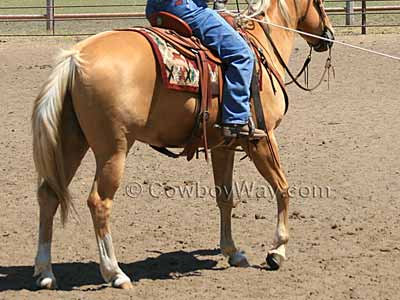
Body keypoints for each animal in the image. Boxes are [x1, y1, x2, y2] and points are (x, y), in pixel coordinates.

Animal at [31, 0, 332, 288]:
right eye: (319, 4)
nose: (328, 36)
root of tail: (76, 57)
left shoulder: (223, 145)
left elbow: (225, 197)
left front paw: (232, 251)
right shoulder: (263, 139)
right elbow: (283, 188)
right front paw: (277, 251)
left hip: (72, 143)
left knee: (49, 194)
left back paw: (45, 272)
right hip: (113, 149)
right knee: (99, 202)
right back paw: (114, 272)